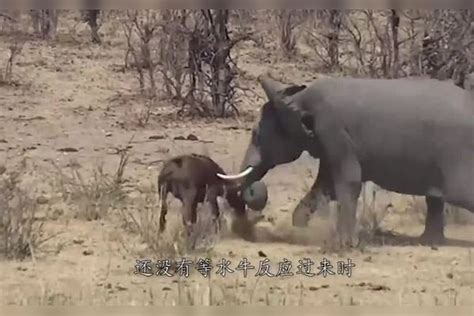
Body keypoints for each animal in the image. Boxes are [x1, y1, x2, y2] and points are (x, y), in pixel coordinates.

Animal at [218, 75, 474, 246]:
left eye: (256, 135)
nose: (254, 192)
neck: (300, 97)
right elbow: (325, 187)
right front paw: (300, 232)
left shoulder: (334, 131)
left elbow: (348, 182)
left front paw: (344, 244)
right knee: (435, 199)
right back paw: (429, 242)